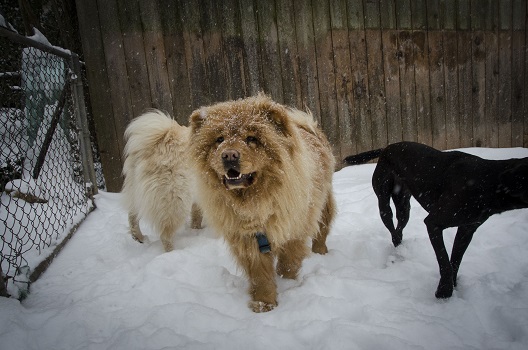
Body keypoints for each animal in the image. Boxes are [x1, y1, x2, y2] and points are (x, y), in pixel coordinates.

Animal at [120, 110, 201, 250]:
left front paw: (197, 229)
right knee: (165, 236)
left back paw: (139, 238)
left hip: (135, 193)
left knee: (132, 217)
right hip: (176, 201)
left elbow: (197, 215)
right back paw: (172, 252)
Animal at [188, 93, 336, 312]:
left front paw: (287, 283)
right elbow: (260, 275)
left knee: (321, 230)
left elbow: (287, 263)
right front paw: (264, 303)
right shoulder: (247, 239)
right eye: (219, 140)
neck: (255, 202)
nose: (229, 155)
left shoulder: (292, 230)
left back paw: (320, 252)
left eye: (251, 139)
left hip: (322, 205)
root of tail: (308, 127)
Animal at [342, 142, 528, 298]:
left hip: (404, 206)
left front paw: (453, 287)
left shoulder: (467, 229)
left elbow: (455, 260)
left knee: (400, 227)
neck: (488, 180)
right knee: (392, 228)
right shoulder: (433, 223)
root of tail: (388, 147)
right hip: (384, 201)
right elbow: (444, 260)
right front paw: (444, 291)